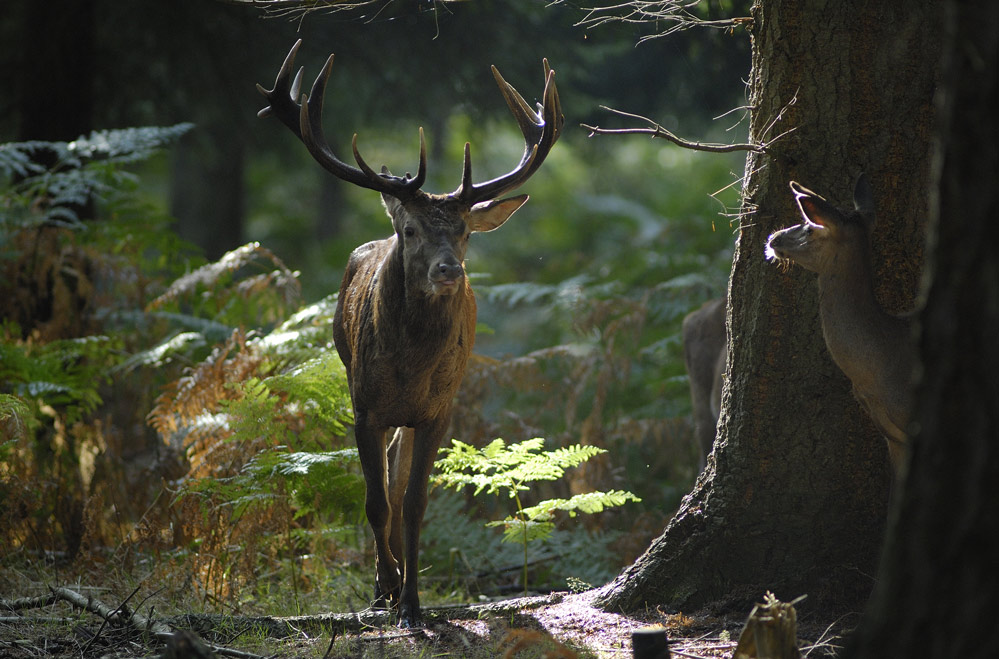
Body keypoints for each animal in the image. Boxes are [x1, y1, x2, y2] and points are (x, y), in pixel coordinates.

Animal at [256, 41, 564, 628]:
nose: (449, 271)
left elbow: (415, 503)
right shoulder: (363, 406)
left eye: (465, 230)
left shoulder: (439, 409)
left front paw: (413, 605)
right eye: (412, 229)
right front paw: (385, 591)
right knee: (383, 489)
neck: (410, 368)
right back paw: (386, 580)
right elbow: (374, 502)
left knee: (398, 486)